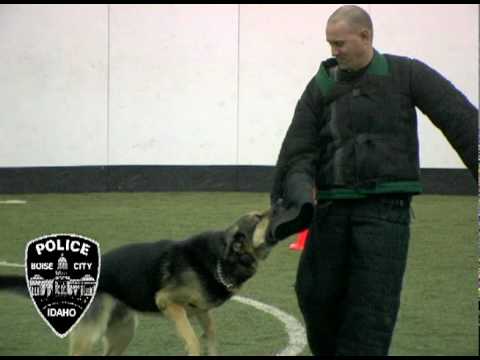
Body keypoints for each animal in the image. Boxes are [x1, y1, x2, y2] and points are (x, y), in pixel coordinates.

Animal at [0, 210, 272, 356]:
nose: (278, 203)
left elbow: (211, 335)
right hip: (91, 333)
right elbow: (194, 340)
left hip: (124, 330)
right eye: (258, 217)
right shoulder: (168, 302)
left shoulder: (201, 311)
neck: (220, 259)